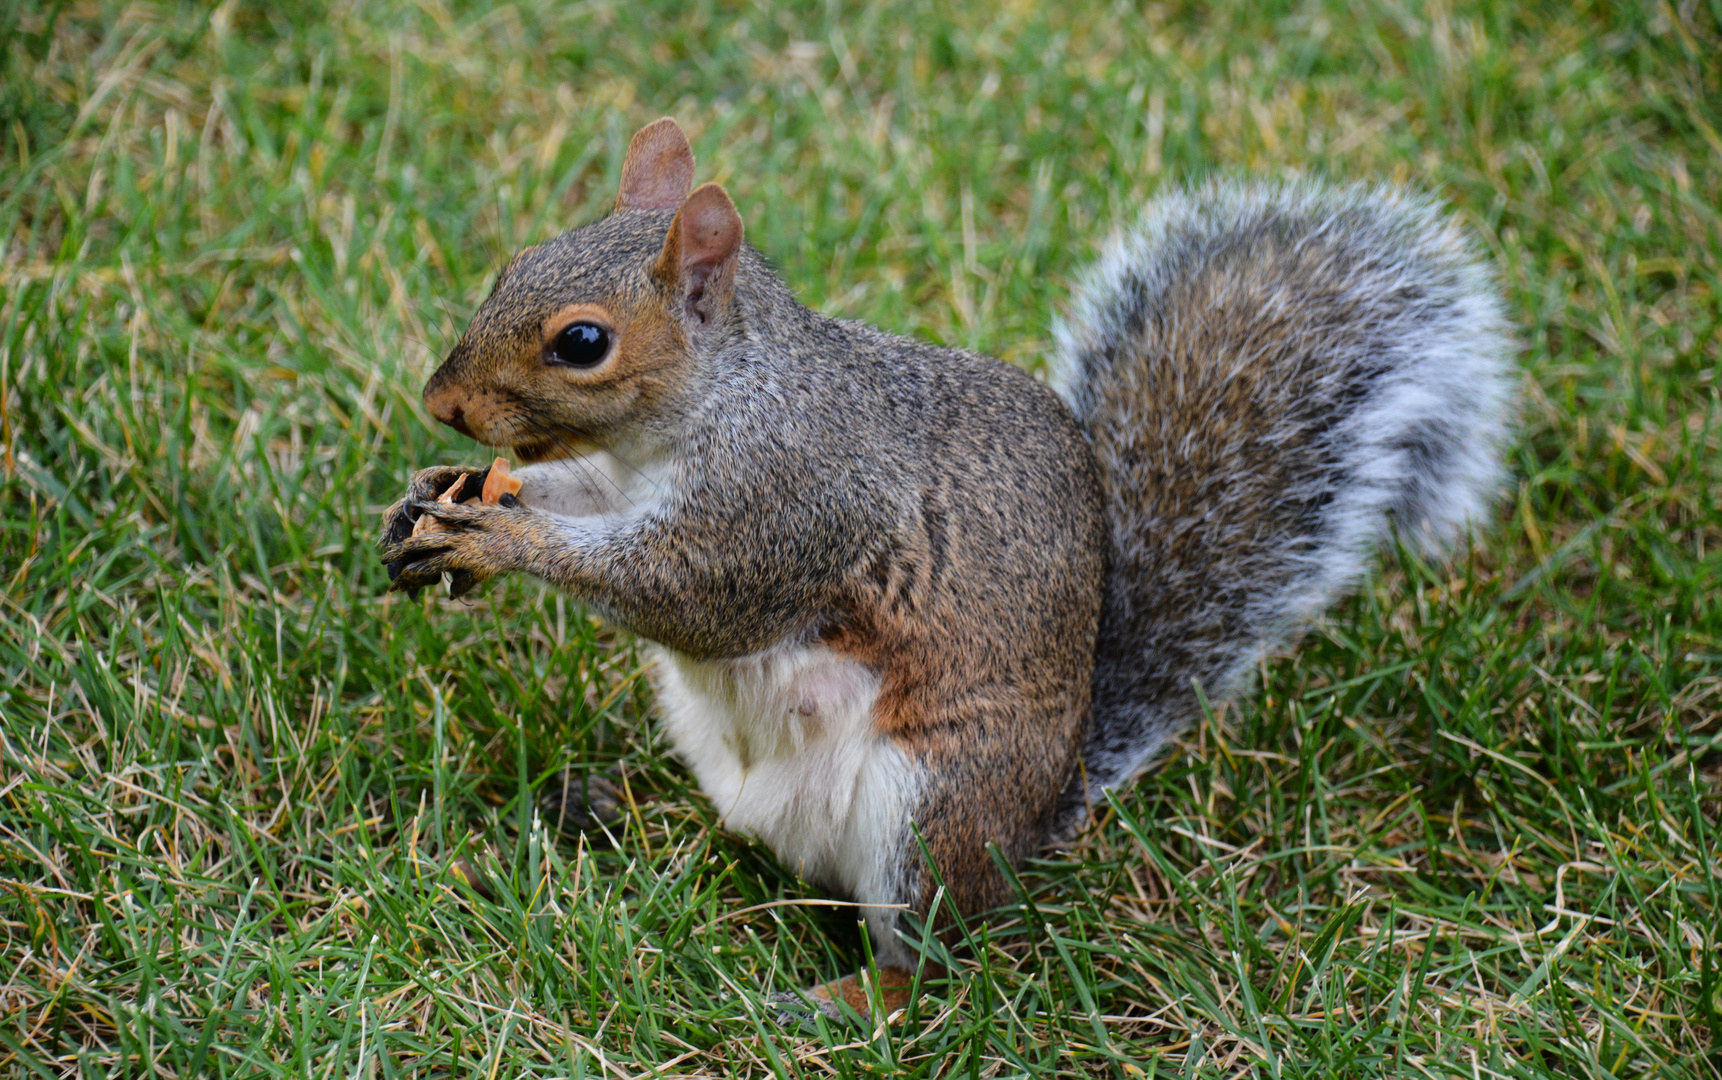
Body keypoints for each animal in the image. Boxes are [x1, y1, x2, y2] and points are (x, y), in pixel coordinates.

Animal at [377, 120, 1508, 1019]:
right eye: (515, 262)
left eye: (583, 342)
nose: (442, 403)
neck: (714, 403)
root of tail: (1044, 813)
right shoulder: (617, 478)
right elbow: (576, 502)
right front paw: (440, 496)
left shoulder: (793, 503)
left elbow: (693, 595)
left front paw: (497, 540)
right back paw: (638, 819)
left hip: (928, 806)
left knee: (929, 955)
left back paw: (844, 996)